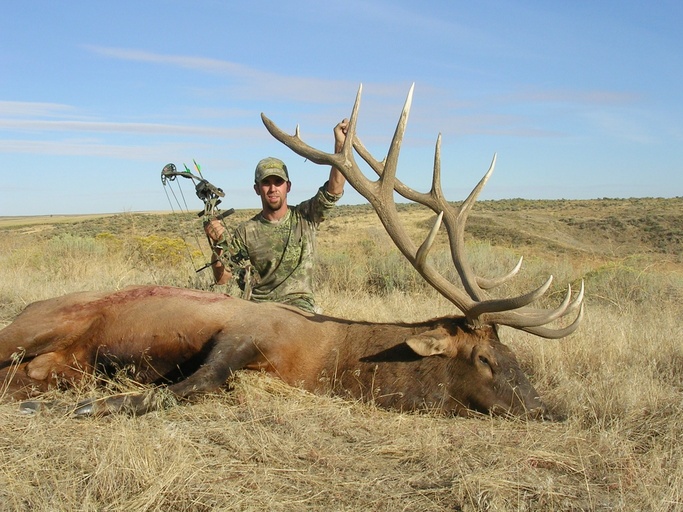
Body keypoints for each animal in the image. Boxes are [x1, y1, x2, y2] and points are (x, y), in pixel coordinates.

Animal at [1, 86, 588, 418]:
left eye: (517, 358)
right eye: (488, 359)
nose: (549, 409)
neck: (323, 359)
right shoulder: (241, 334)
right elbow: (188, 385)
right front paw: (90, 406)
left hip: (58, 363)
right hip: (36, 326)